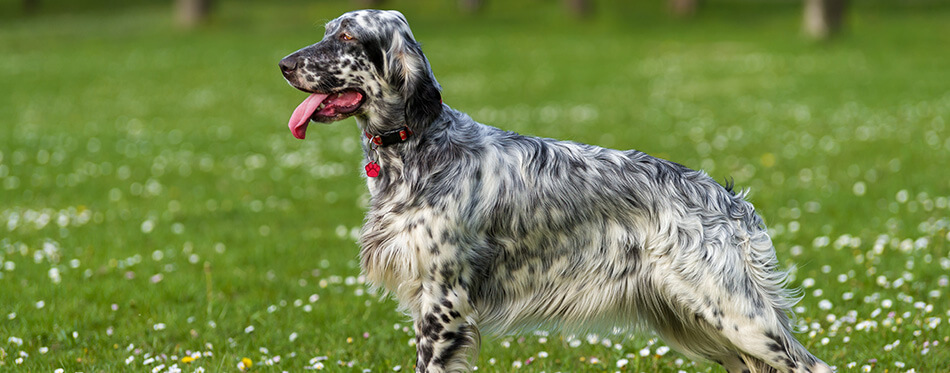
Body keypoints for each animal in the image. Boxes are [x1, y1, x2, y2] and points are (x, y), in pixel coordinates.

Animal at [278, 8, 832, 372]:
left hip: (737, 315)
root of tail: (729, 199)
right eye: (326, 31)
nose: (283, 64)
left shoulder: (443, 301)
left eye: (347, 35)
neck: (420, 145)